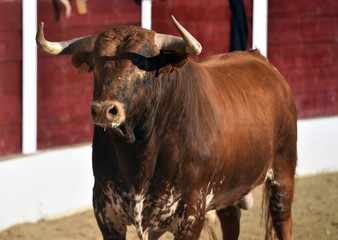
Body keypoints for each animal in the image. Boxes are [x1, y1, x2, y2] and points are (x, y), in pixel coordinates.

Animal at [35, 15, 298, 239]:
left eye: (141, 63)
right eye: (96, 63)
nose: (103, 110)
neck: (139, 149)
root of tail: (261, 60)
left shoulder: (191, 214)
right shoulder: (106, 211)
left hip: (283, 172)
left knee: (284, 221)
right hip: (229, 190)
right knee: (231, 222)